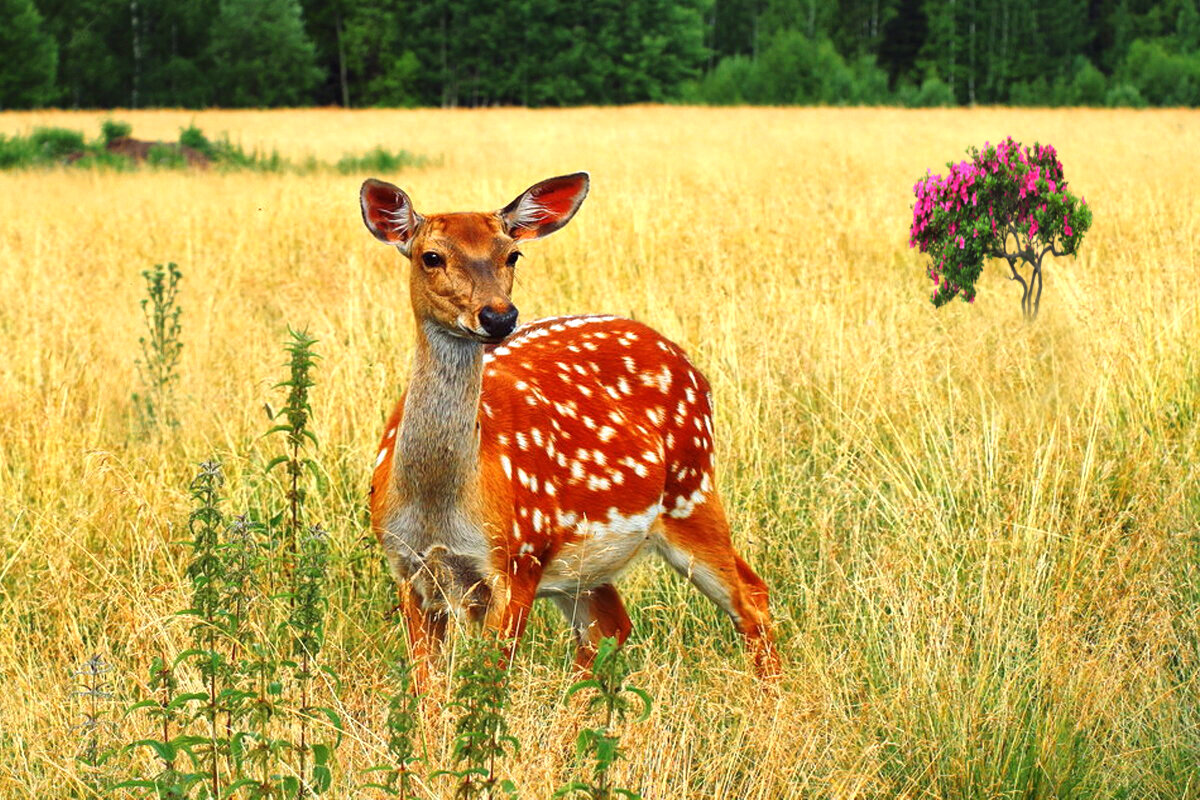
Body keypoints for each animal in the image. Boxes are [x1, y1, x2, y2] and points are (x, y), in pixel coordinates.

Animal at [360, 173, 782, 681]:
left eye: (513, 254)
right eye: (431, 257)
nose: (499, 316)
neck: (439, 506)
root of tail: (688, 363)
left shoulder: (518, 558)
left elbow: (487, 687)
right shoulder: (408, 570)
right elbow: (428, 690)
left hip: (691, 488)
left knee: (750, 596)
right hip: (586, 565)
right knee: (612, 627)